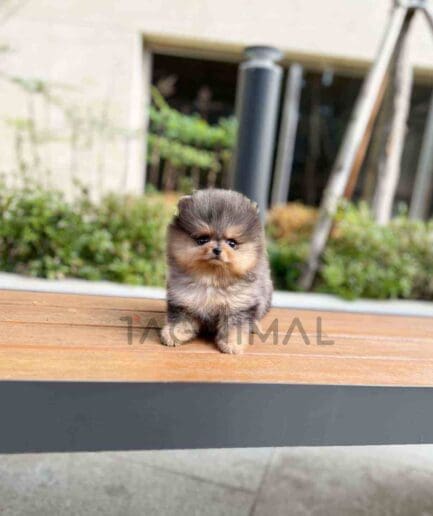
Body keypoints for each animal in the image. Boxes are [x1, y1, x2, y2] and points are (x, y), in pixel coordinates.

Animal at [160, 189, 273, 354]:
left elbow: (234, 327)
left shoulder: (238, 305)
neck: (212, 279)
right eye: (202, 240)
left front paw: (233, 344)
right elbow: (180, 320)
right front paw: (173, 334)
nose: (217, 250)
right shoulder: (183, 300)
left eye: (232, 243)